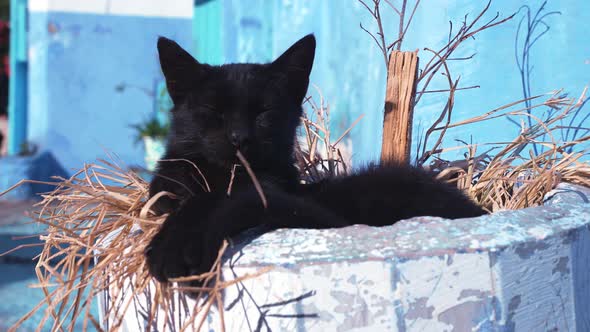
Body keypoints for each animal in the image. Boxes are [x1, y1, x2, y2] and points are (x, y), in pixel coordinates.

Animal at [145, 35, 486, 286]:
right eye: (213, 111)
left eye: (263, 112)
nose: (239, 138)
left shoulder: (312, 214)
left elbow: (224, 199)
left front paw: (177, 246)